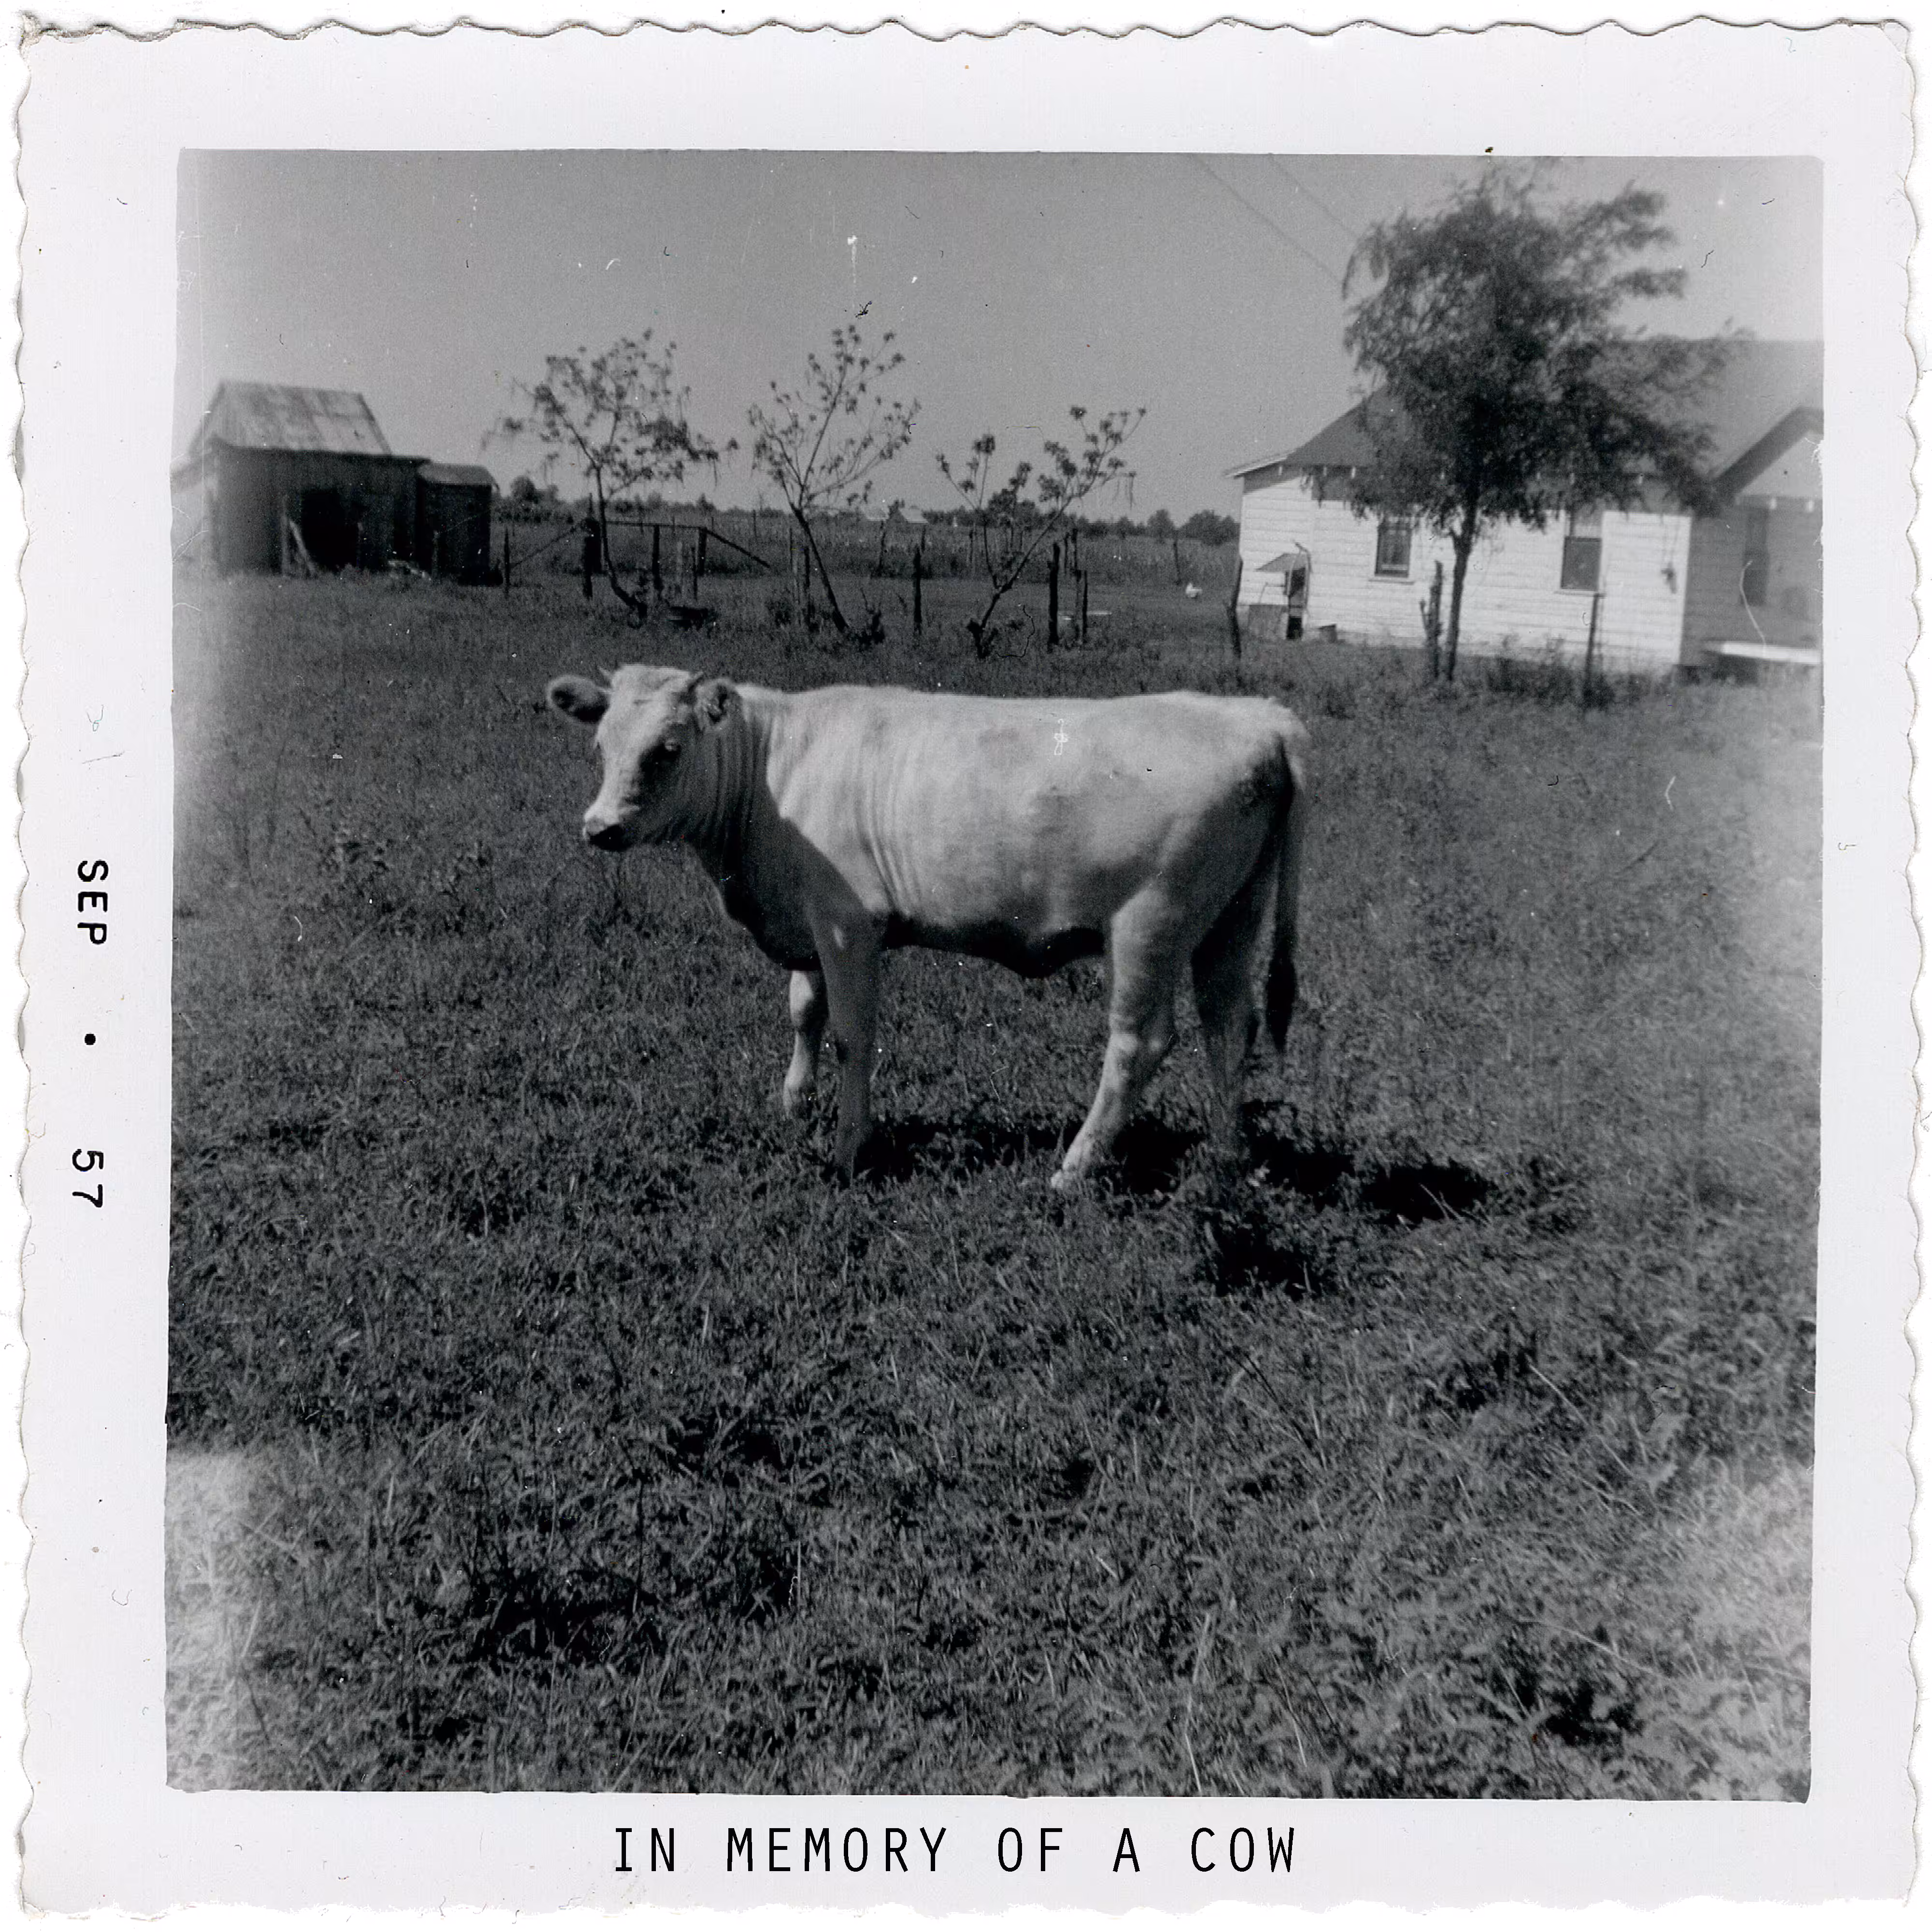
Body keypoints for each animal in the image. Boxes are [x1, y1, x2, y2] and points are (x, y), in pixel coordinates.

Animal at [547, 665, 1311, 1190]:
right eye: (601, 744)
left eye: (668, 748)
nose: (600, 827)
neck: (770, 773)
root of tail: (1258, 716)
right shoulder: (809, 918)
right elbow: (803, 1011)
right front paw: (795, 1102)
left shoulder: (849, 923)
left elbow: (852, 1034)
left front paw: (850, 1147)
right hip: (1231, 920)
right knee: (1228, 1025)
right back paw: (1226, 1156)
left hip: (1151, 925)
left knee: (1138, 1045)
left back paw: (1074, 1170)